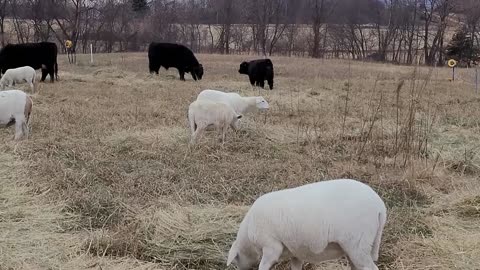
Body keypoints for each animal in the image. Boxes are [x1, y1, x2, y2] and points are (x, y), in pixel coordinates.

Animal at [227, 179, 388, 270]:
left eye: (236, 260)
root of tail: (380, 208)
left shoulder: (271, 247)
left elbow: (263, 265)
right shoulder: (295, 251)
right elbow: (296, 266)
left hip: (357, 244)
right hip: (354, 248)